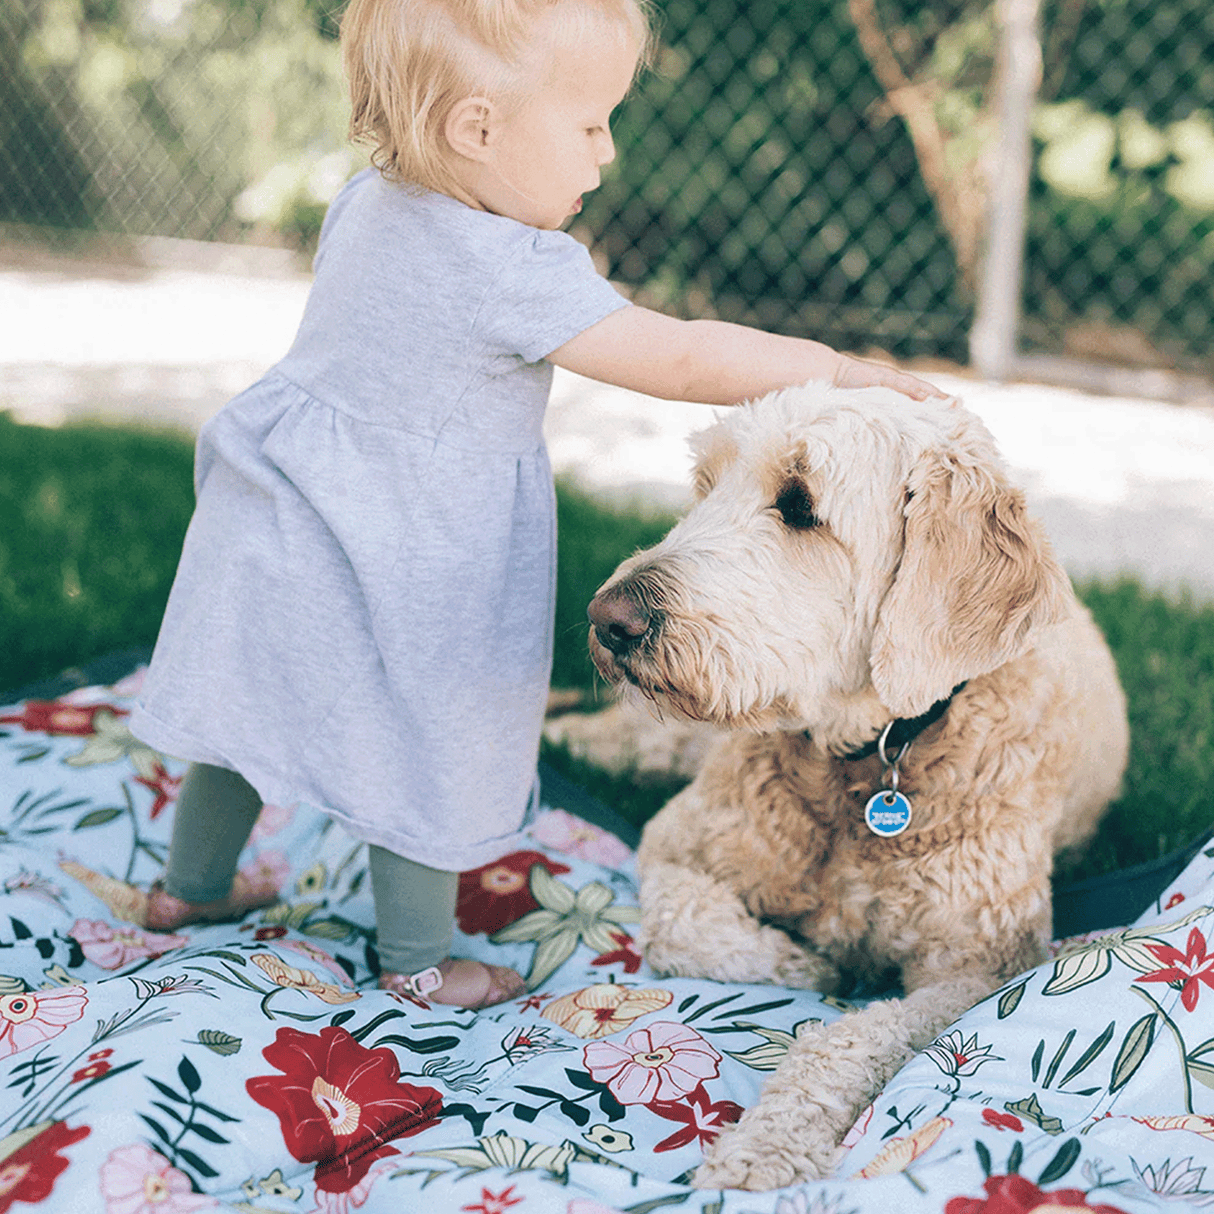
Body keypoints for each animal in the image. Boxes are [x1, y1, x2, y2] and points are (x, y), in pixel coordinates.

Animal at [577, 383, 1126, 1189]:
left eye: (799, 504)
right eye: (706, 484)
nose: (607, 619)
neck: (872, 756)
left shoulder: (981, 968)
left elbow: (847, 1041)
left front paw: (765, 1150)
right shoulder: (673, 844)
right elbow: (681, 923)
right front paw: (807, 961)